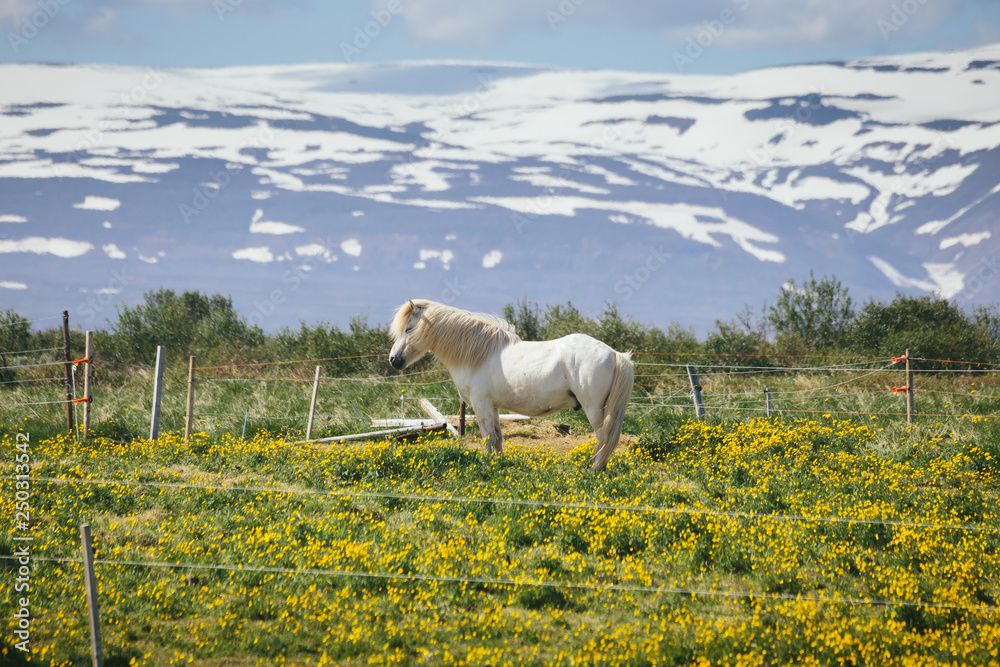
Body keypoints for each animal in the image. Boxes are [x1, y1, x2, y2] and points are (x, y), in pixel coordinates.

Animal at [388, 299, 634, 471]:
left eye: (408, 329)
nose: (393, 360)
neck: (479, 354)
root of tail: (614, 354)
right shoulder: (494, 407)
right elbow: (498, 437)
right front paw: (499, 465)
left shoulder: (481, 405)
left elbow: (488, 438)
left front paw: (488, 466)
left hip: (593, 408)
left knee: (604, 437)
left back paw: (593, 469)